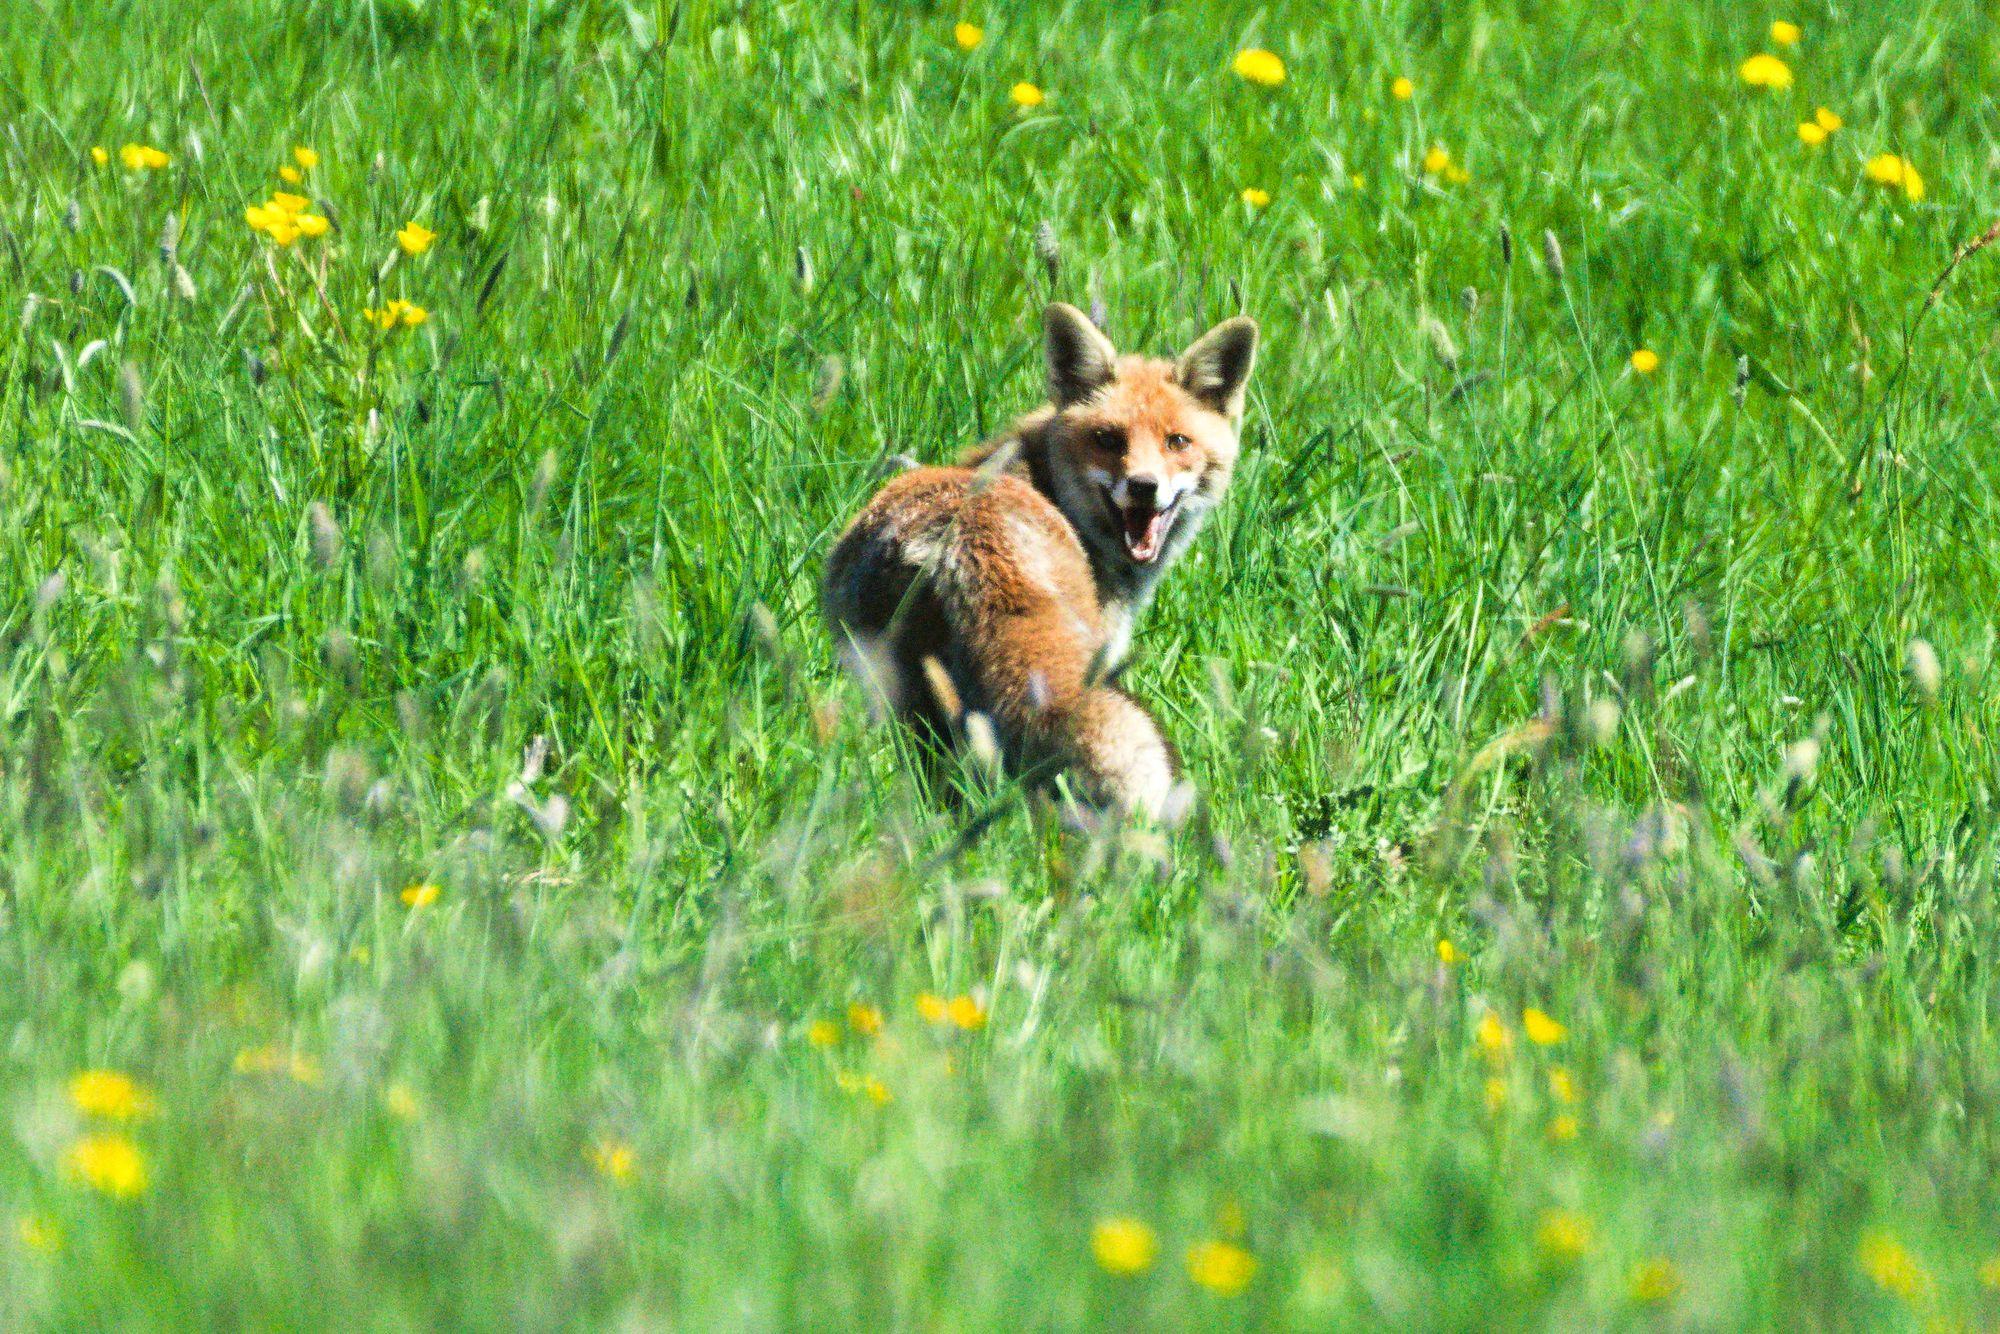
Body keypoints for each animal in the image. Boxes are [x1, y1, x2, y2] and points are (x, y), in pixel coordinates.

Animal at [823, 302, 1259, 821]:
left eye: (1177, 441)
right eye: (1108, 439)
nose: (1143, 486)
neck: (1051, 489)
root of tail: (955, 536)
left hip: (905, 697)